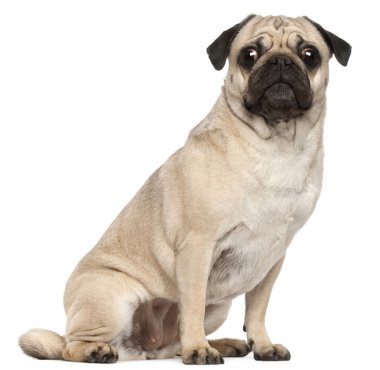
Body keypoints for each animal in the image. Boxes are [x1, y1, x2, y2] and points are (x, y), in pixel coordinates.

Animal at [17, 13, 350, 364]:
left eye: (309, 55)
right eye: (249, 55)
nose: (281, 61)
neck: (277, 145)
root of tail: (141, 347)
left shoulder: (272, 259)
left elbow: (257, 309)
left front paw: (262, 345)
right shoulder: (197, 247)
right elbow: (192, 306)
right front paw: (198, 351)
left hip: (217, 308)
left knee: (169, 347)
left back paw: (222, 343)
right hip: (112, 297)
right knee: (71, 346)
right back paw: (98, 350)